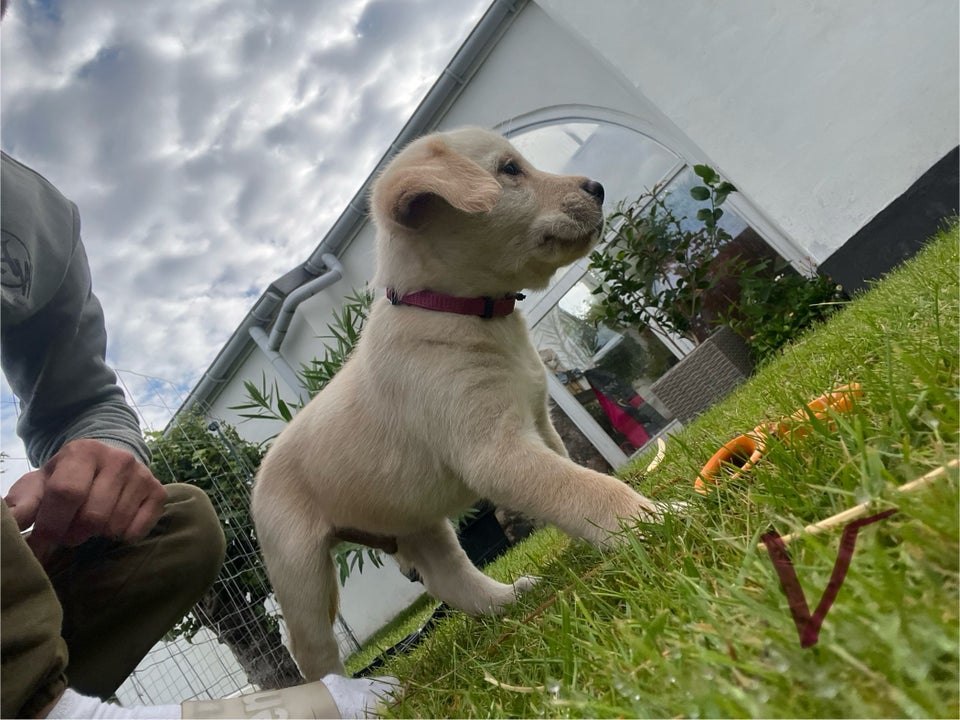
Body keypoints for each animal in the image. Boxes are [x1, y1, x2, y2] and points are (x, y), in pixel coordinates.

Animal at [251, 126, 660, 676]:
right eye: (509, 169)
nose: (596, 187)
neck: (454, 310)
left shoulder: (541, 425)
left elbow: (574, 483)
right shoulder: (496, 452)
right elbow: (587, 488)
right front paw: (657, 518)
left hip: (415, 523)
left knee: (451, 580)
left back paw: (509, 599)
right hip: (302, 573)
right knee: (311, 652)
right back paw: (346, 690)